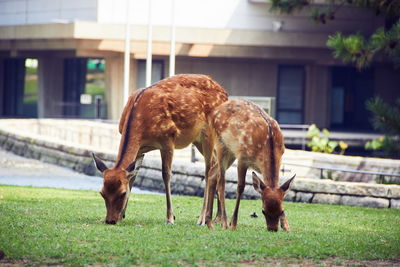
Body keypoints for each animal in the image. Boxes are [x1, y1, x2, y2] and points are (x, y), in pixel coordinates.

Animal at [91, 74, 228, 226]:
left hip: (209, 133)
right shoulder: (140, 148)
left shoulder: (168, 139)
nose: (110, 220)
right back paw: (217, 217)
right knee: (217, 164)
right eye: (102, 193)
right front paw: (123, 215)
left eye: (122, 193)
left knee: (208, 170)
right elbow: (134, 174)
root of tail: (225, 94)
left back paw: (202, 219)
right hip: (198, 139)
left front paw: (170, 218)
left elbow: (166, 175)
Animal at [205, 99, 296, 231]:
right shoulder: (242, 157)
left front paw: (286, 226)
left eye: (281, 211)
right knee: (221, 181)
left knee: (212, 173)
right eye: (263, 211)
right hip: (220, 144)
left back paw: (208, 222)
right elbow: (240, 187)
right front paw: (233, 224)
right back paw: (224, 223)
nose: (273, 229)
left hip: (230, 153)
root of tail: (212, 113)